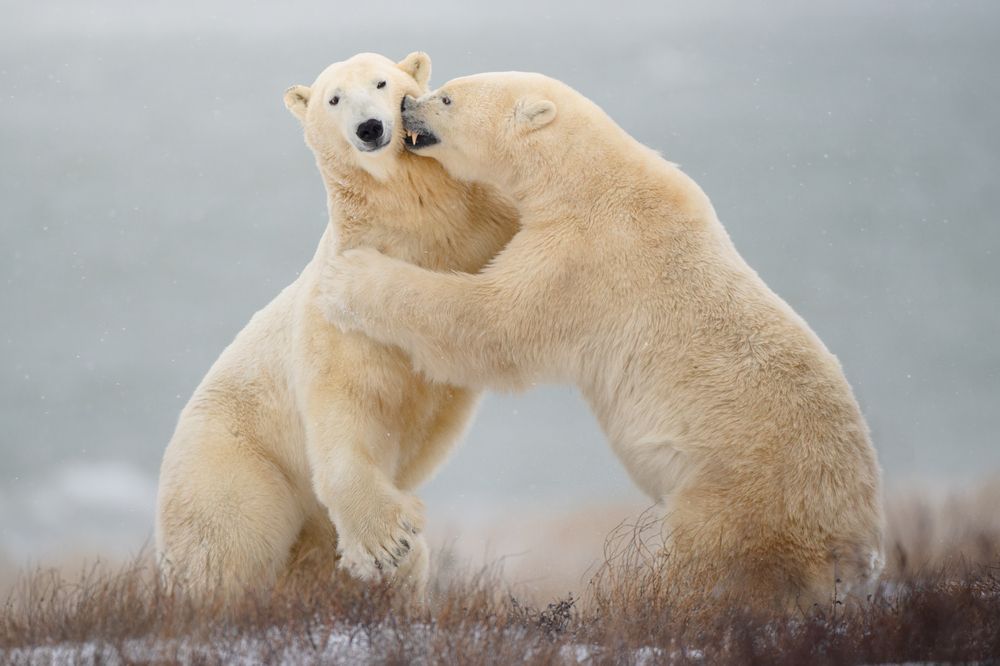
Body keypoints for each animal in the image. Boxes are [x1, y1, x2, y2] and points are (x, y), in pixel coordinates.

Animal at [154, 54, 519, 601]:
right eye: (334, 98)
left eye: (382, 82)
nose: (370, 128)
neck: (419, 226)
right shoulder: (334, 311)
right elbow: (345, 405)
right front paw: (388, 541)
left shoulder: (481, 225)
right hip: (235, 465)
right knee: (227, 546)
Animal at [322, 71, 885, 609]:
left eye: (446, 98)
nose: (404, 106)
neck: (589, 175)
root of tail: (851, 549)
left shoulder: (581, 254)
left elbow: (489, 321)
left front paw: (348, 278)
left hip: (737, 496)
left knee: (707, 564)